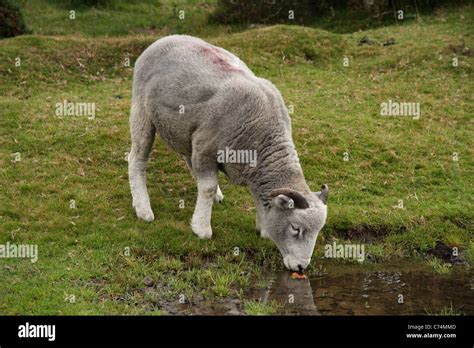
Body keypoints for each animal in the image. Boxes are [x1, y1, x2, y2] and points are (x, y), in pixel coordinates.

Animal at [130, 34, 330, 272]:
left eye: (318, 231)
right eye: (295, 228)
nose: (301, 267)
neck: (263, 135)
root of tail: (166, 38)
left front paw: (262, 228)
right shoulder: (205, 148)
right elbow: (207, 188)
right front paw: (201, 229)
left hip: (187, 132)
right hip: (142, 112)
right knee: (136, 159)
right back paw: (143, 209)